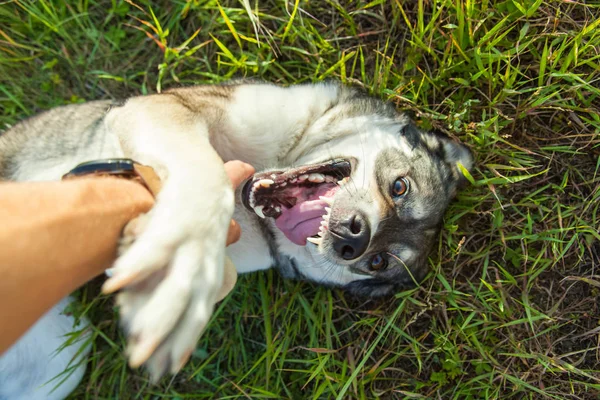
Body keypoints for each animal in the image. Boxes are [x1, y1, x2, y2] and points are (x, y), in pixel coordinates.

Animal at [0, 79, 474, 398]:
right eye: (400, 187)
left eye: (377, 263)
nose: (351, 242)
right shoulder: (162, 109)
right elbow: (202, 170)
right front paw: (185, 260)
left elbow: (220, 272)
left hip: (57, 362)